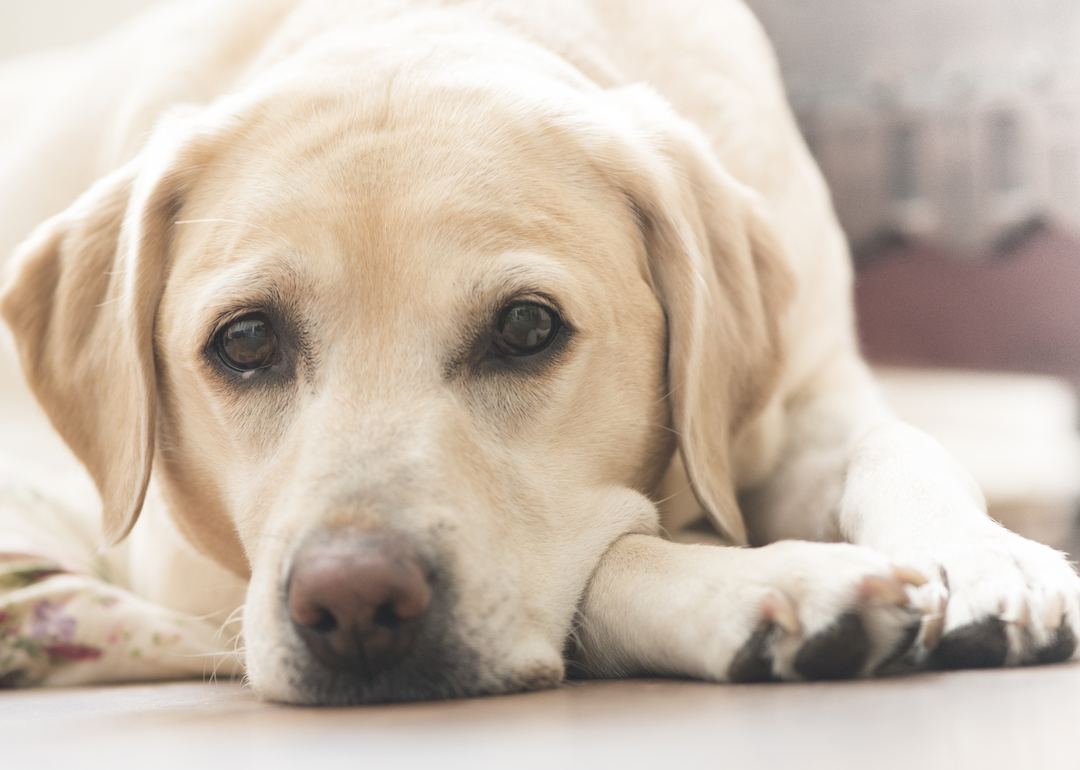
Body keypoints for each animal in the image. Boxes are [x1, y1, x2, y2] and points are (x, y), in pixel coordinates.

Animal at [2, 0, 1080, 699]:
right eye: (247, 339)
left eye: (526, 327)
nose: (353, 603)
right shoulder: (184, 565)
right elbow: (614, 554)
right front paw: (772, 583)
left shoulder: (811, 386)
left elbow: (899, 444)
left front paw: (980, 554)